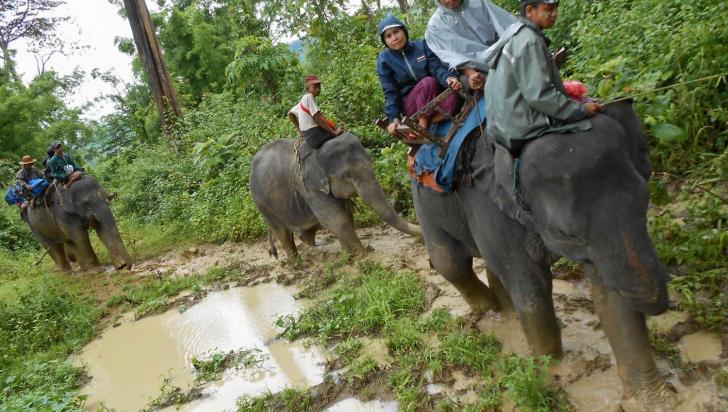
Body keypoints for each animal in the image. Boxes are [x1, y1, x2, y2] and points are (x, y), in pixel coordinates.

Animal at [250, 132, 420, 260]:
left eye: (370, 162)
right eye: (347, 176)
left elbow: (346, 214)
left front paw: (350, 253)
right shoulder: (309, 187)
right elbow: (335, 218)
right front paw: (362, 255)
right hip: (262, 204)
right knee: (282, 233)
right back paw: (296, 265)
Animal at [412, 101, 672, 408]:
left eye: (646, 199)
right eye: (568, 233)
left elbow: (608, 292)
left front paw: (654, 402)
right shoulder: (487, 205)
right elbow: (532, 290)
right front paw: (552, 370)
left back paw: (503, 311)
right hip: (424, 201)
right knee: (451, 263)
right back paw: (490, 309)